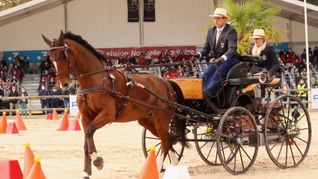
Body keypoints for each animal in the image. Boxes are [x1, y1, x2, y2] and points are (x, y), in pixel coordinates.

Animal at [42, 31, 186, 178]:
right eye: (50, 59)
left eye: (62, 55)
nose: (64, 84)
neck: (95, 80)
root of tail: (166, 83)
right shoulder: (86, 117)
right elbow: (86, 142)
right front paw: (86, 172)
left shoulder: (107, 114)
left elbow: (90, 131)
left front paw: (98, 161)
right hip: (147, 120)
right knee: (168, 140)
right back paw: (174, 168)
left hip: (161, 118)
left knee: (165, 142)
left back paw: (158, 169)